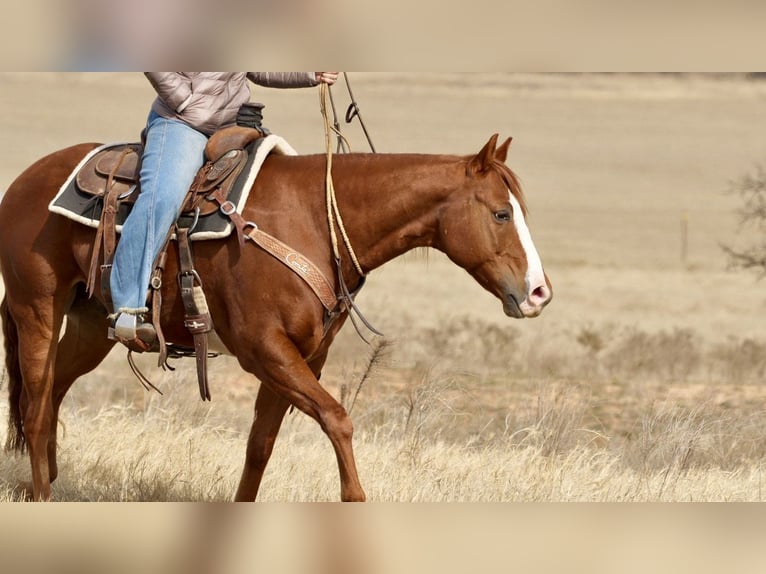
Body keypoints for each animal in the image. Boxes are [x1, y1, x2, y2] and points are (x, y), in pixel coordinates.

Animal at [0, 133, 552, 502]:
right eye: (501, 214)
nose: (539, 293)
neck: (315, 221)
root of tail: (24, 181)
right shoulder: (265, 350)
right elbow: (337, 419)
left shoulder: (301, 358)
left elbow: (260, 446)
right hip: (37, 312)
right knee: (34, 406)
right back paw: (43, 495)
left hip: (92, 328)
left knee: (51, 395)